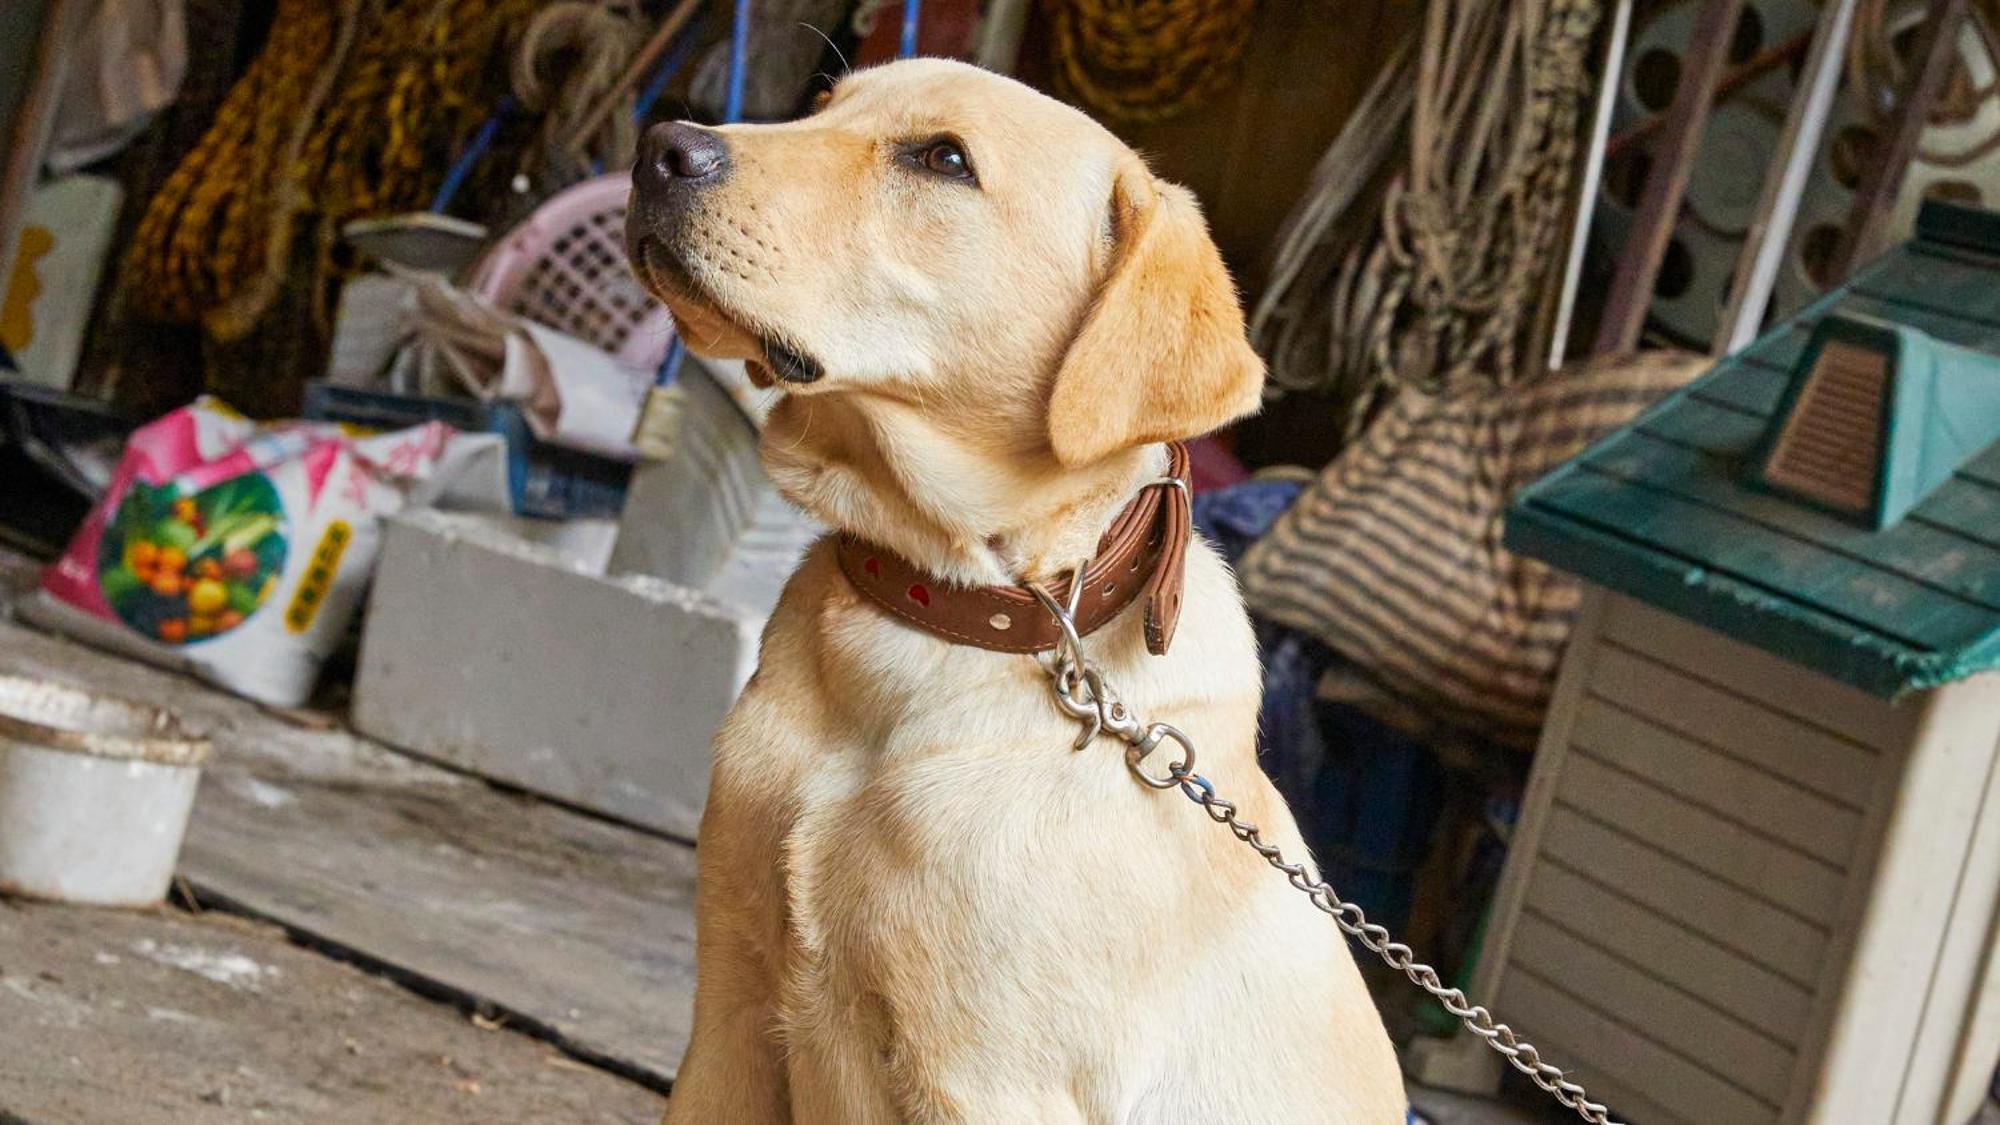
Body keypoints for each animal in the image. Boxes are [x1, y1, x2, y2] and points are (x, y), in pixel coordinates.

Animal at [632, 59, 1400, 1120]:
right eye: (823, 105)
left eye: (944, 159)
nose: (659, 147)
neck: (947, 625)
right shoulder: (730, 1018)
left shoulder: (986, 1082)